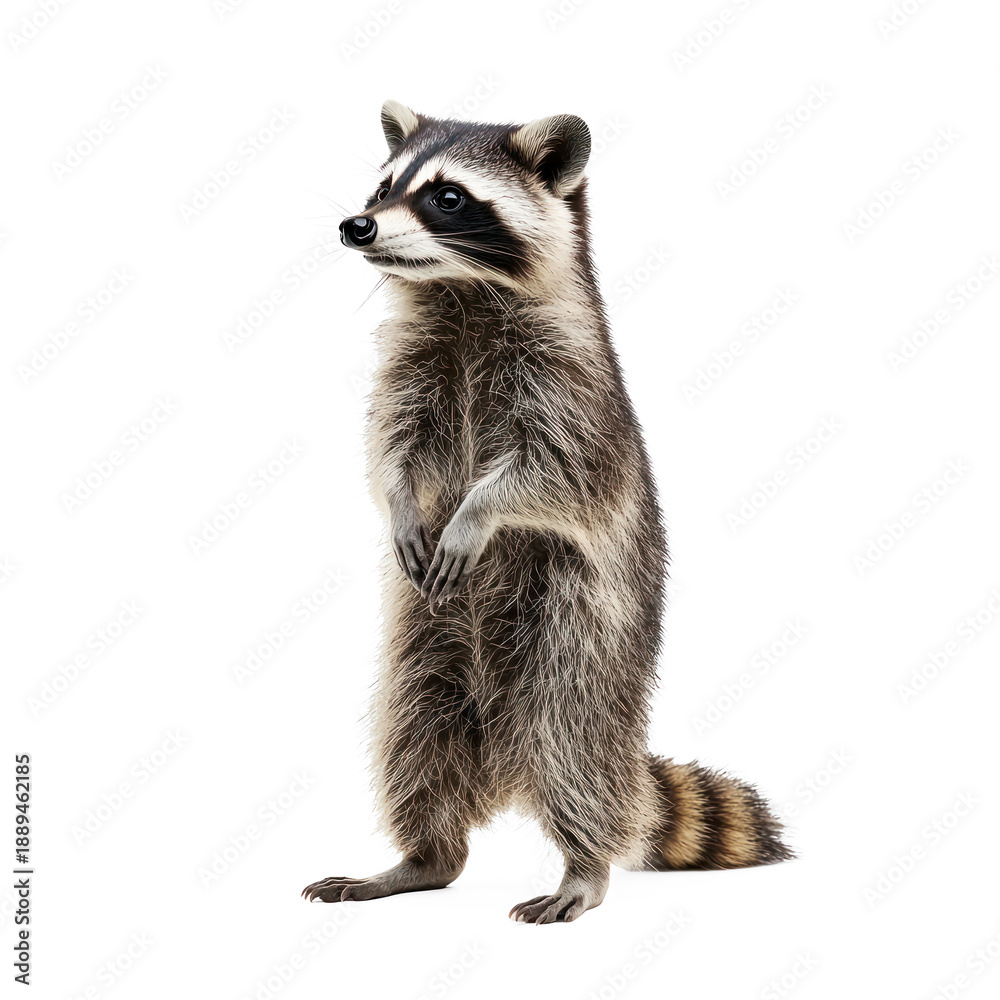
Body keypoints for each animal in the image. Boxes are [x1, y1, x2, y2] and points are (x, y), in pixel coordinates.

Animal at [302, 101, 792, 923]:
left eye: (447, 197)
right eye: (381, 187)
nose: (355, 225)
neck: (462, 290)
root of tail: (501, 762)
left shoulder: (574, 387)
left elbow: (551, 473)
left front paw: (478, 510)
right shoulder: (410, 365)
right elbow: (388, 447)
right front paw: (400, 502)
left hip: (583, 622)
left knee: (573, 740)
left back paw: (582, 865)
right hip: (421, 642)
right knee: (413, 733)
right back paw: (422, 857)